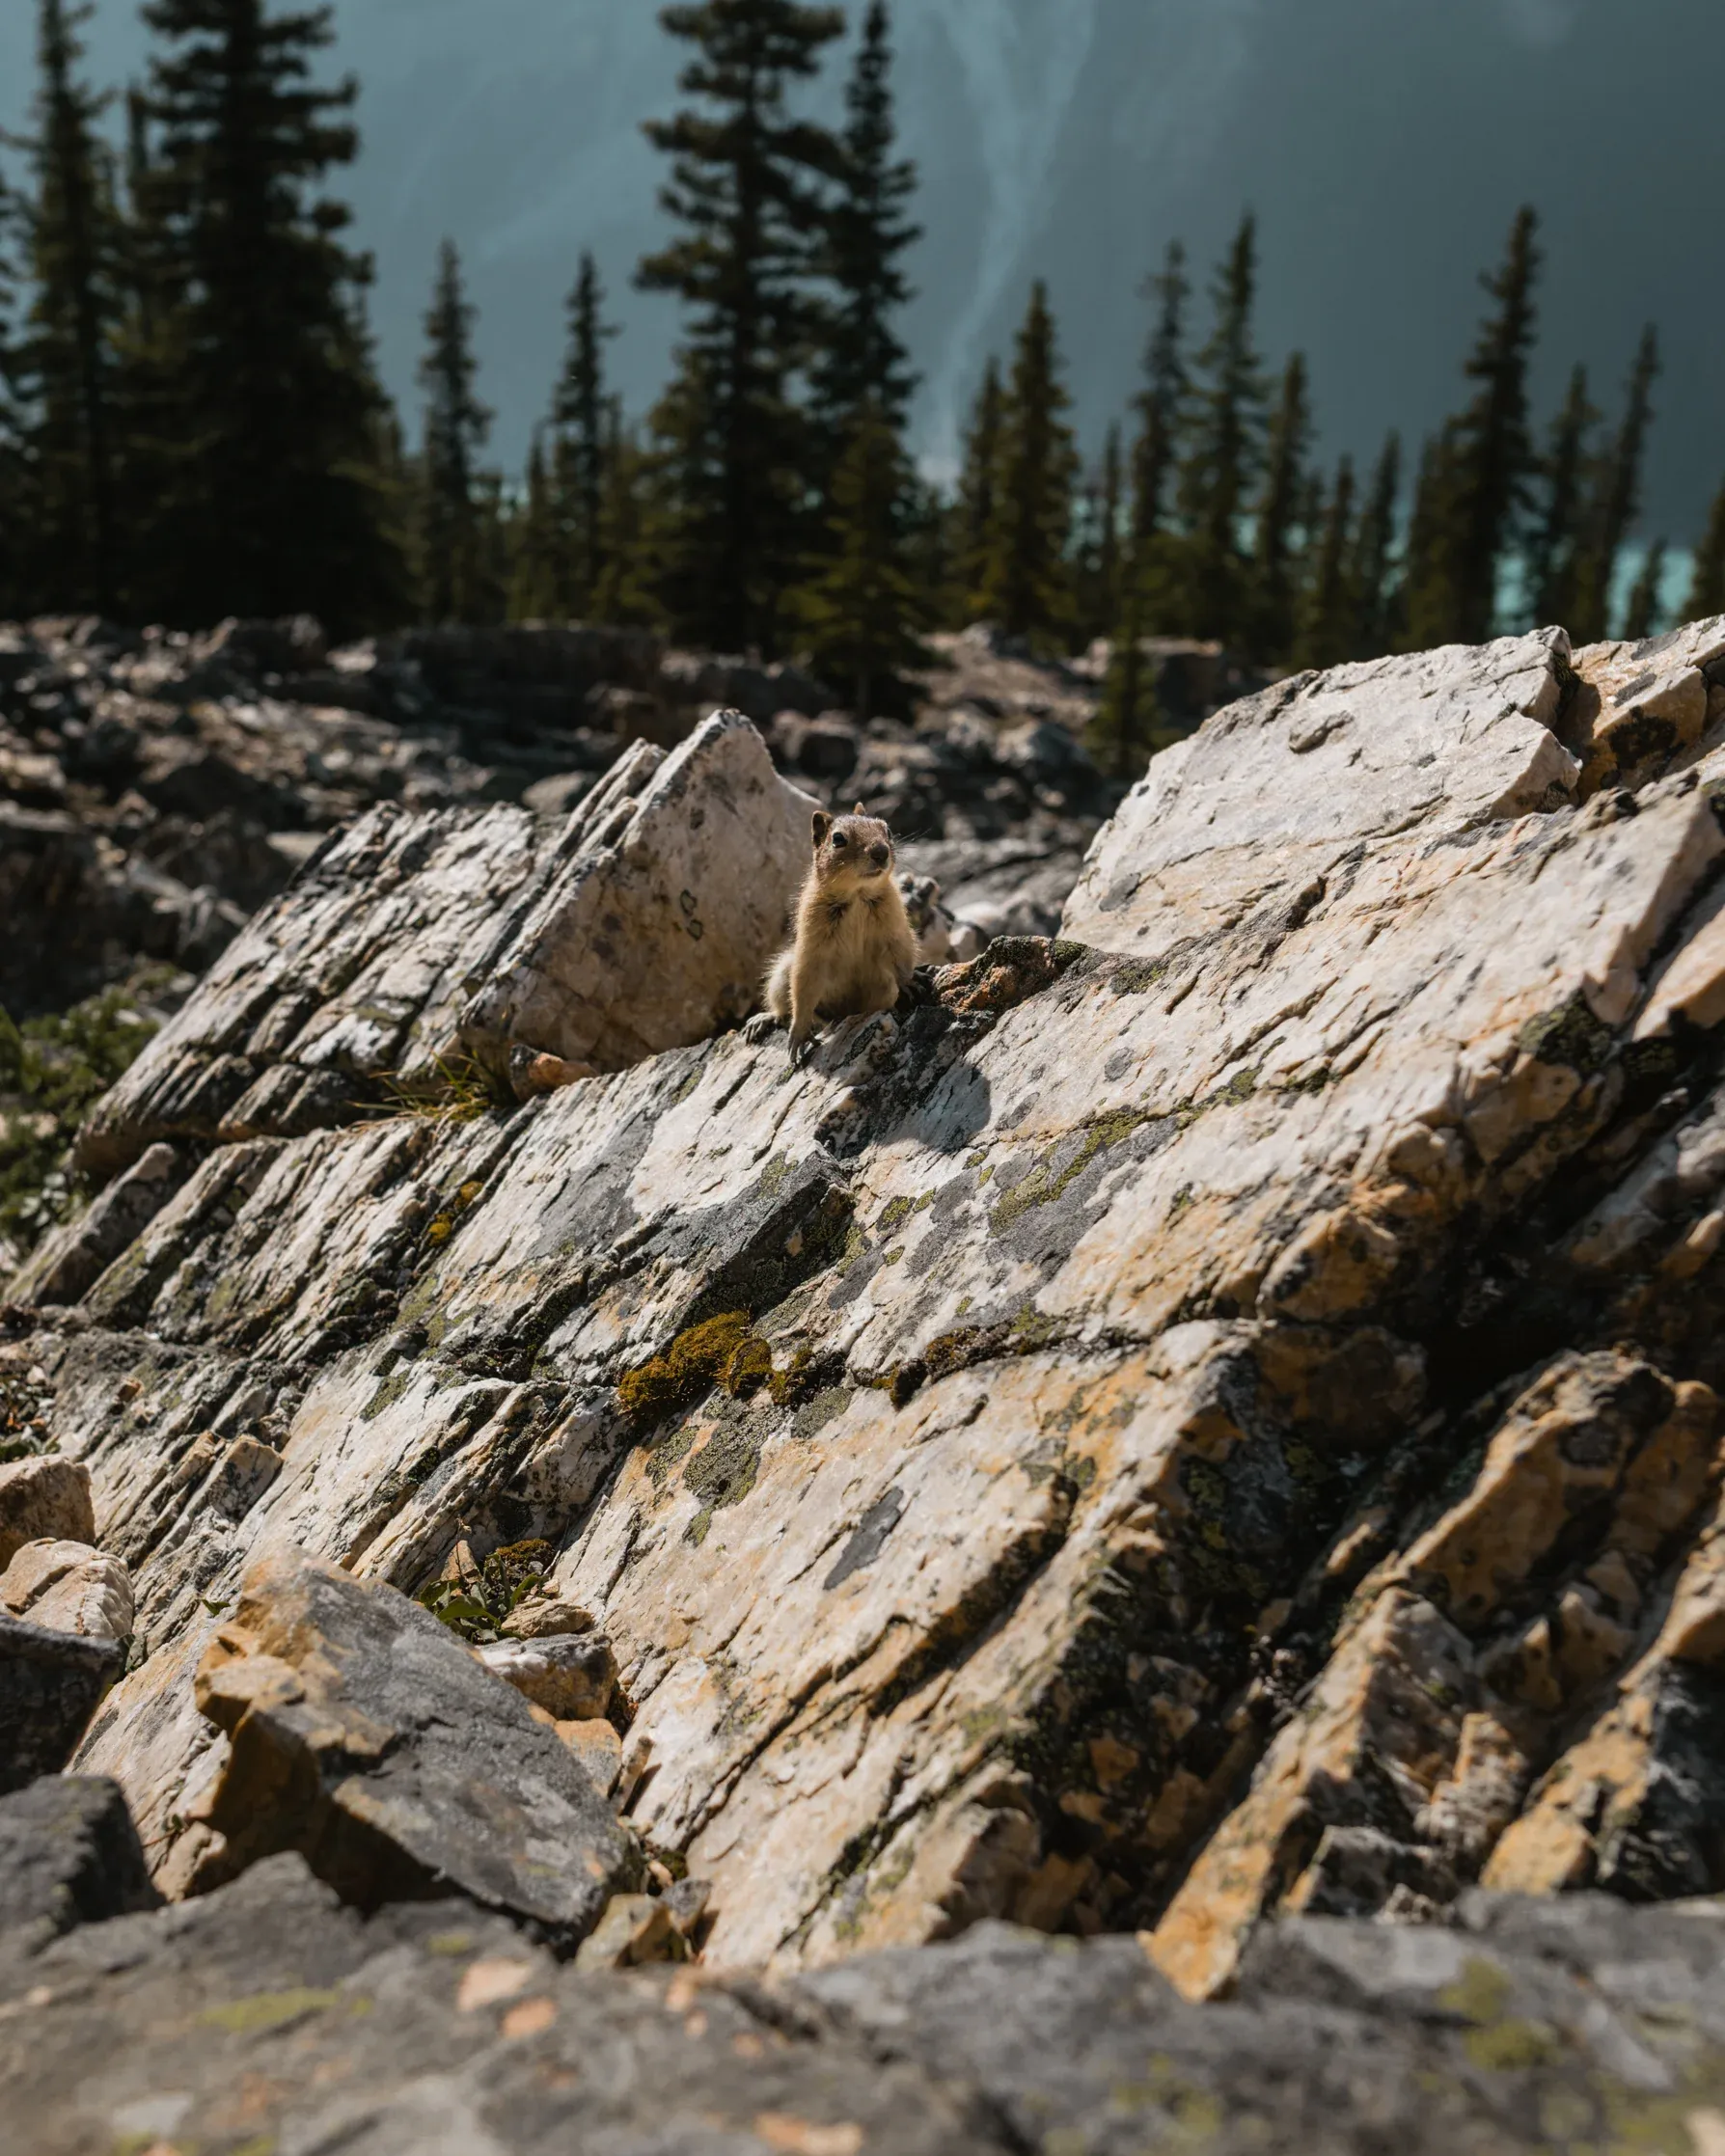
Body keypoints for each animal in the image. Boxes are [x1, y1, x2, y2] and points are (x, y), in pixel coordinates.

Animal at [765, 805, 919, 1063]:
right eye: (838, 839)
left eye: (887, 829)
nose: (881, 852)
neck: (857, 894)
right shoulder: (812, 940)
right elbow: (804, 985)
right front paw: (799, 1034)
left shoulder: (895, 927)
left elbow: (901, 956)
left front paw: (911, 983)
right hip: (781, 975)